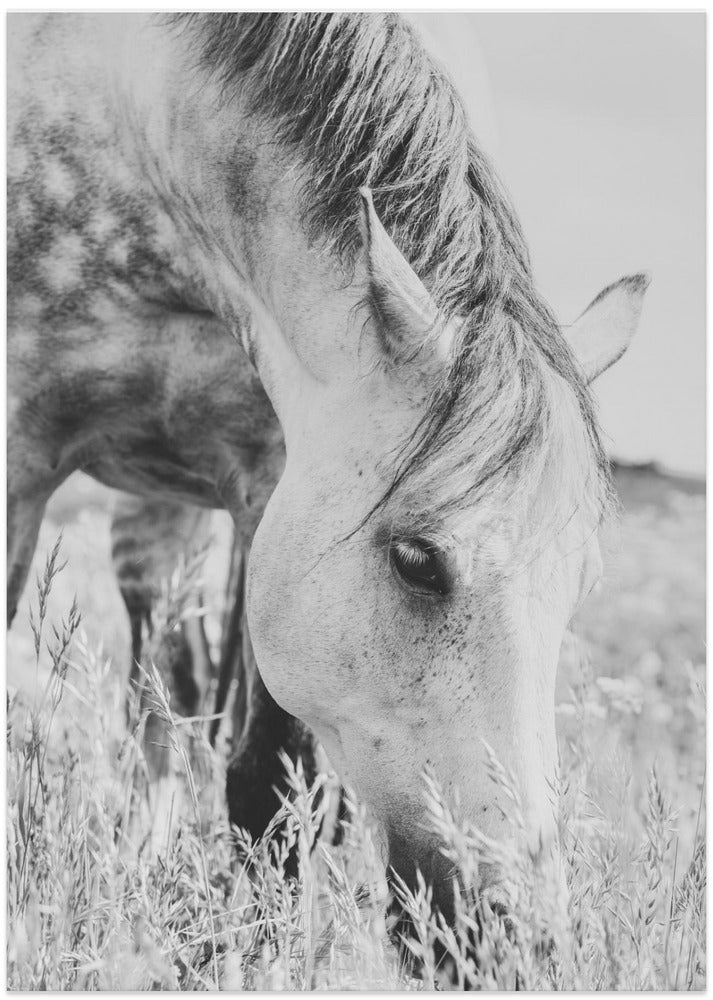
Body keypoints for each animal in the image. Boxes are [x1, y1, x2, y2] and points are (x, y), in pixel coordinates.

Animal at [7, 12, 648, 928]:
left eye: (579, 584)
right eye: (416, 560)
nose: (514, 931)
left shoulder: (271, 479)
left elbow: (268, 784)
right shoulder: (20, 453)